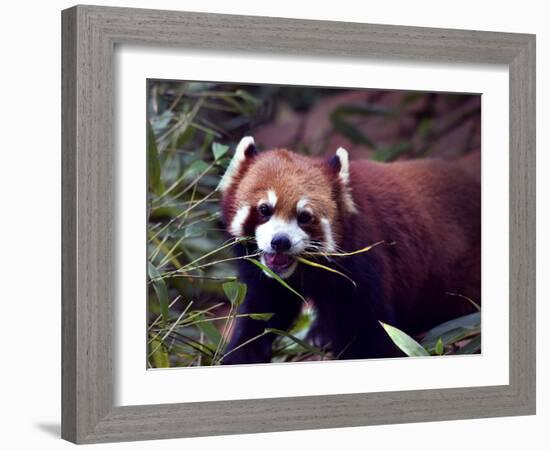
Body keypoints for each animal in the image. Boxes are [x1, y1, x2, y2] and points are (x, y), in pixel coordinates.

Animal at [220, 135, 484, 364]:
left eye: (304, 217)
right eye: (265, 209)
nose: (281, 241)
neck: (304, 271)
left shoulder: (363, 261)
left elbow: (370, 328)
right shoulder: (266, 277)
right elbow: (263, 312)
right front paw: (239, 354)